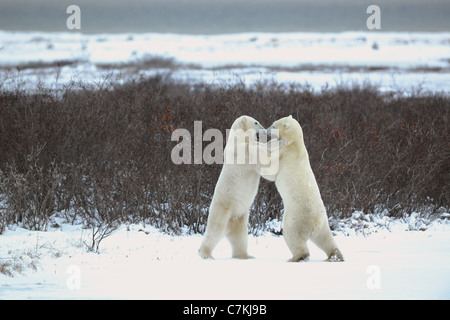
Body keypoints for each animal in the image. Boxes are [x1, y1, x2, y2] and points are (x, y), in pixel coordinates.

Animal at [199, 115, 276, 260]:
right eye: (256, 122)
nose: (264, 131)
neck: (239, 137)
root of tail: (230, 224)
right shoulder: (243, 151)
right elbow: (262, 161)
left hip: (240, 217)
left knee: (240, 237)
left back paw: (246, 255)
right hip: (222, 210)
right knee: (215, 231)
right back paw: (205, 254)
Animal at [266, 116, 342, 262]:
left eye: (273, 125)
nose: (266, 131)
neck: (295, 145)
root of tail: (315, 223)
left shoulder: (285, 155)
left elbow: (270, 169)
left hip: (296, 218)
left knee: (292, 236)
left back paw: (297, 257)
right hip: (324, 223)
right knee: (326, 239)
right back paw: (335, 256)